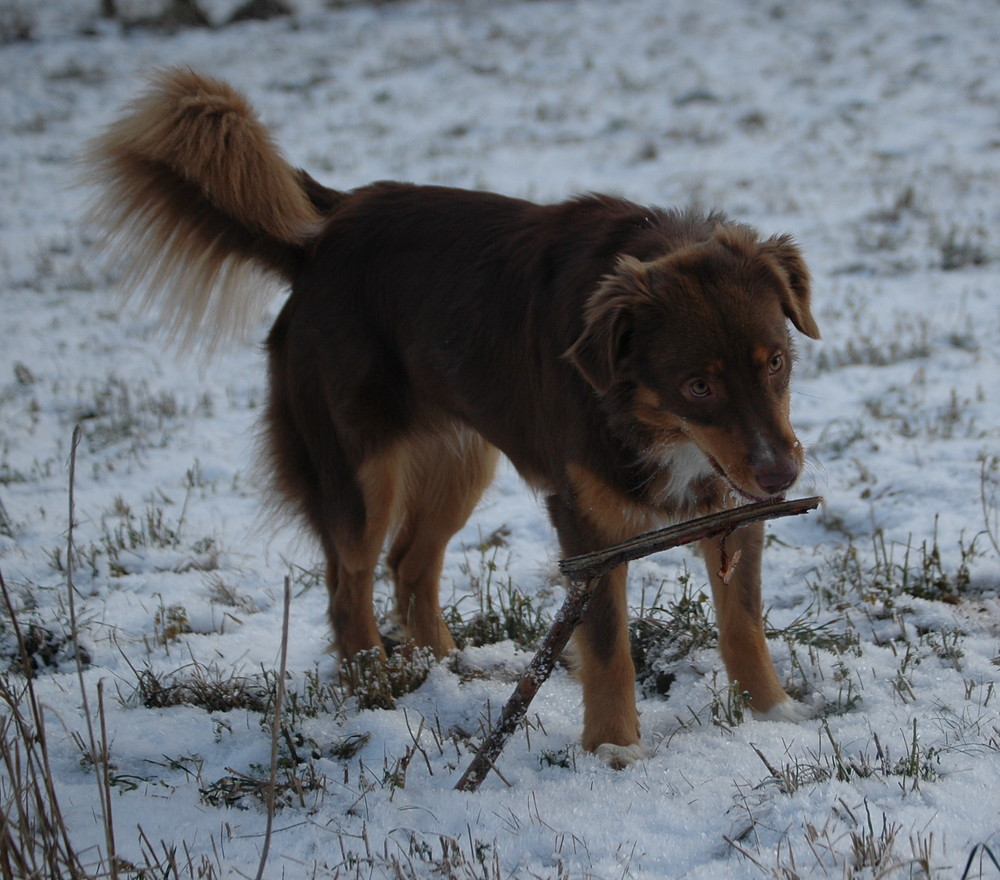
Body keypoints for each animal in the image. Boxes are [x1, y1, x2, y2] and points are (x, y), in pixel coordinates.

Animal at [86, 69, 820, 768]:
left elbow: (743, 621)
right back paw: (375, 688)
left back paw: (444, 671)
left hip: (463, 457)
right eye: (698, 386)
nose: (783, 477)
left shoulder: (732, 504)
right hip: (362, 469)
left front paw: (773, 714)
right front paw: (614, 748)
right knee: (349, 582)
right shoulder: (588, 528)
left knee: (411, 565)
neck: (651, 421)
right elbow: (609, 647)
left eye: (776, 362)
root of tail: (327, 232)